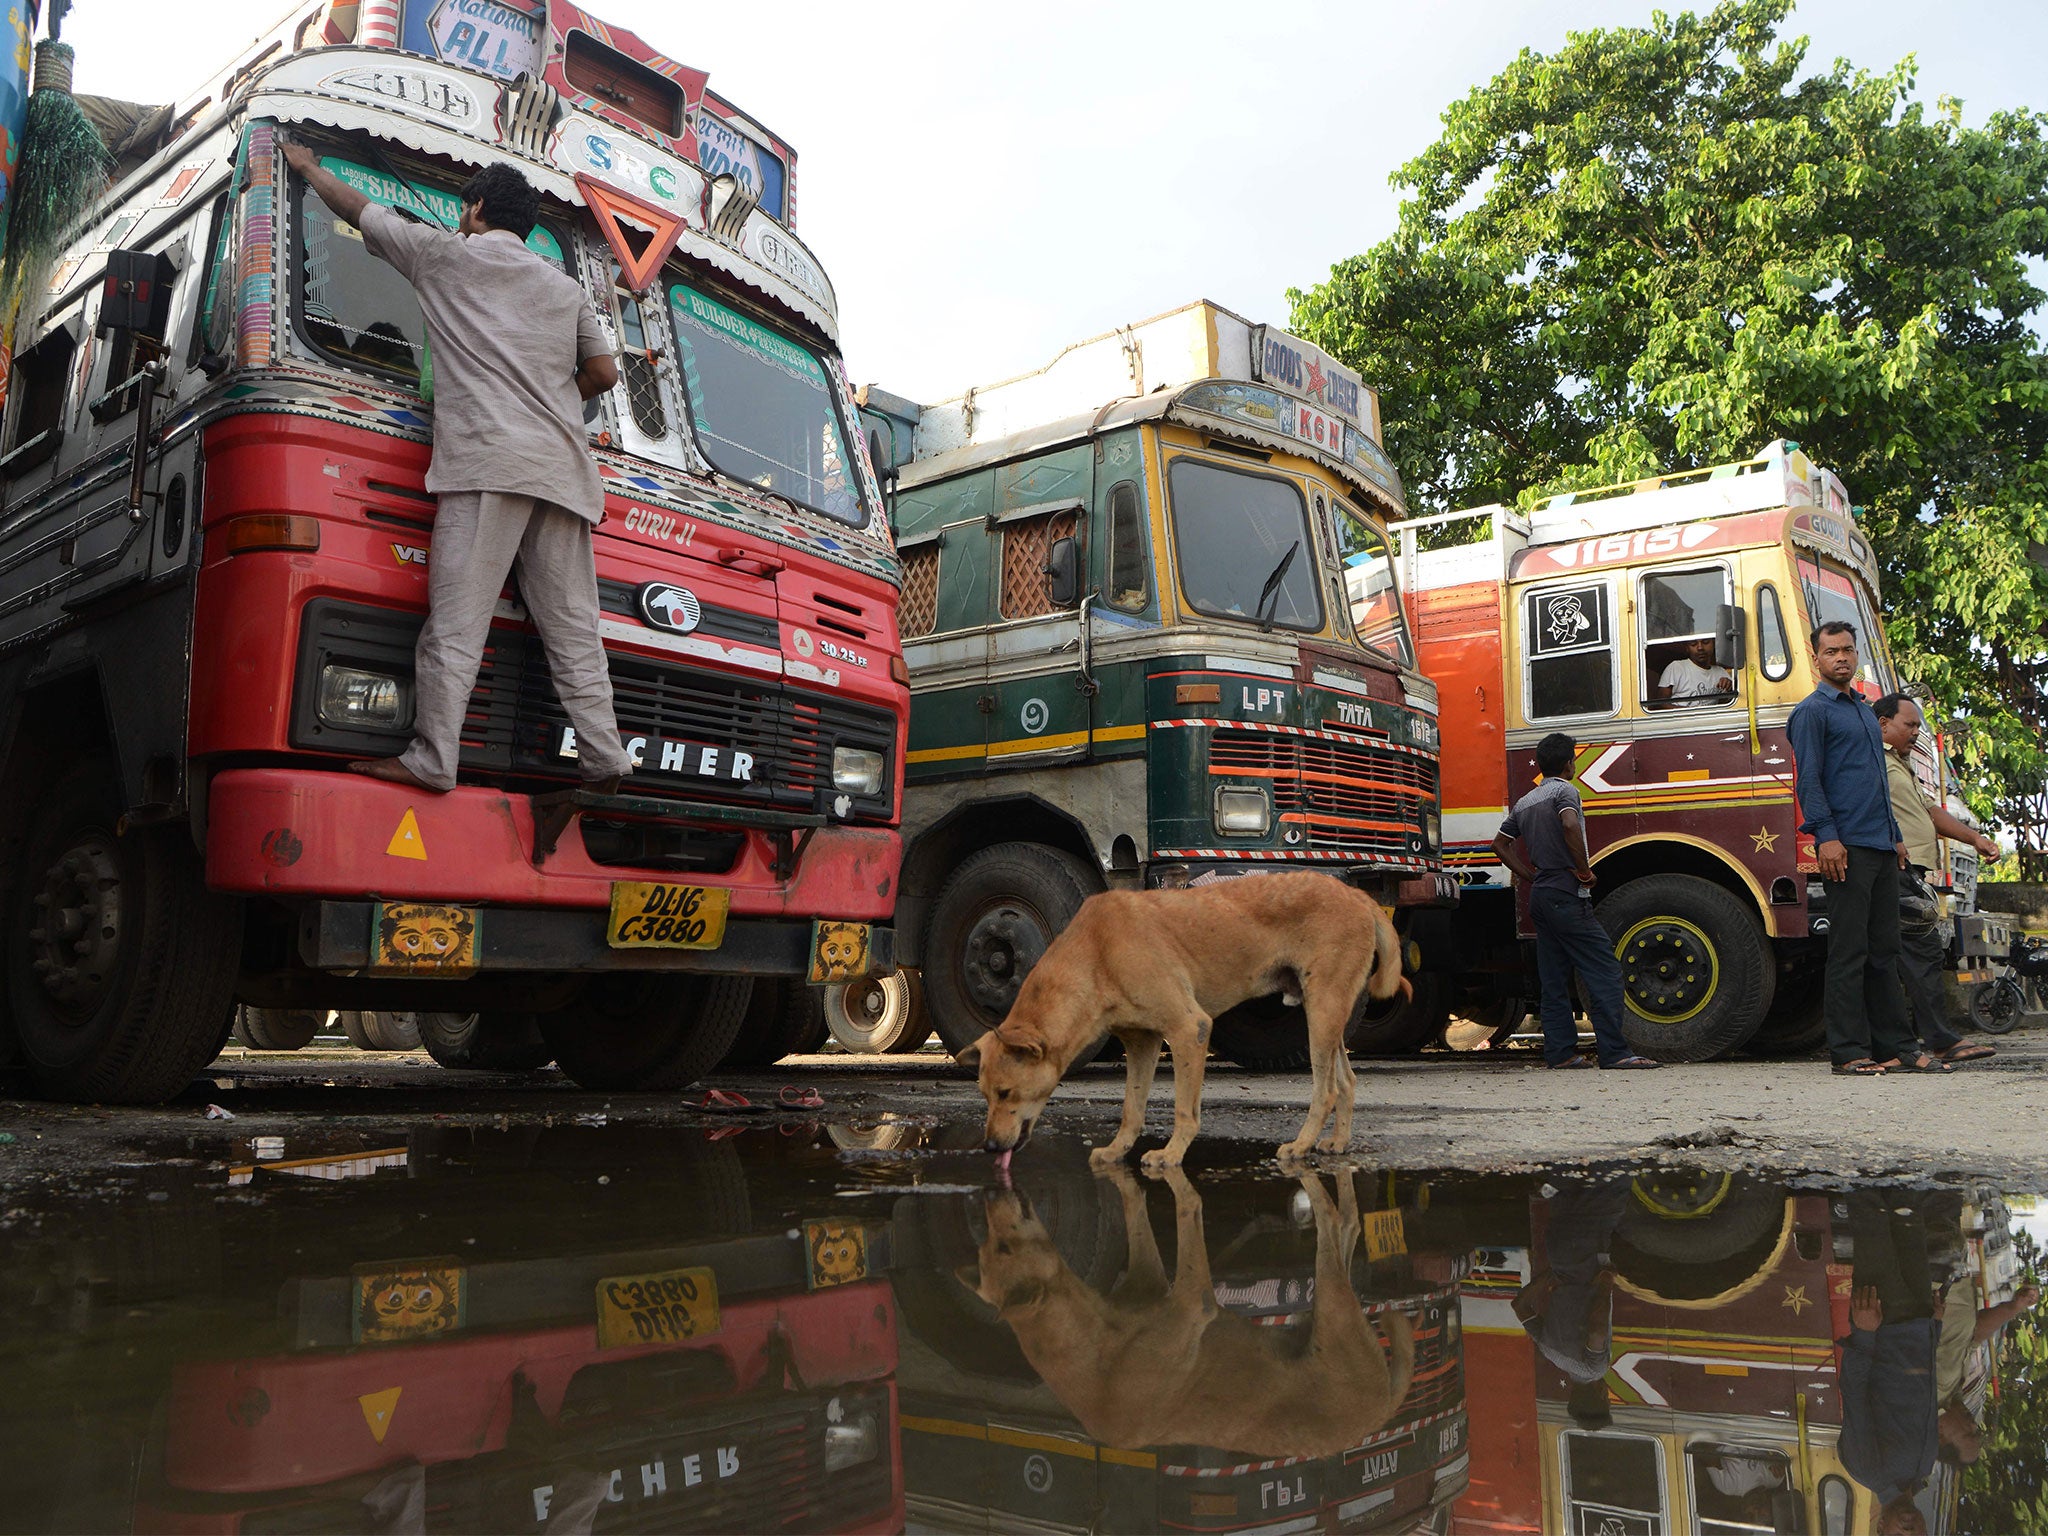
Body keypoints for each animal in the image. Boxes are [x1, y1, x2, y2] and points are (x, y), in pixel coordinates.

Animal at [954, 876, 1409, 1163]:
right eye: (985, 1095)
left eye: (1007, 1093)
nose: (990, 1148)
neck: (1095, 953)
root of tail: (1357, 895)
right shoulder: (1141, 1042)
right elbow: (1131, 1108)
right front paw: (1118, 1151)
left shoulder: (1189, 1030)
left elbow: (1183, 1111)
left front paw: (1172, 1154)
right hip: (1328, 1017)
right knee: (1347, 1081)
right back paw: (1338, 1142)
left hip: (1321, 1013)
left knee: (1326, 1090)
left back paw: (1301, 1145)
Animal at [954, 1171, 1409, 1458]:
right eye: (989, 1245)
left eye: (1001, 1248)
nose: (987, 1196)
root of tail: (1383, 1409)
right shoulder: (1186, 1294)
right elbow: (1167, 1205)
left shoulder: (1168, 1287)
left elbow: (1153, 1203)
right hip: (1331, 1305)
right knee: (1340, 1221)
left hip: (1330, 1303)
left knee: (1341, 1222)